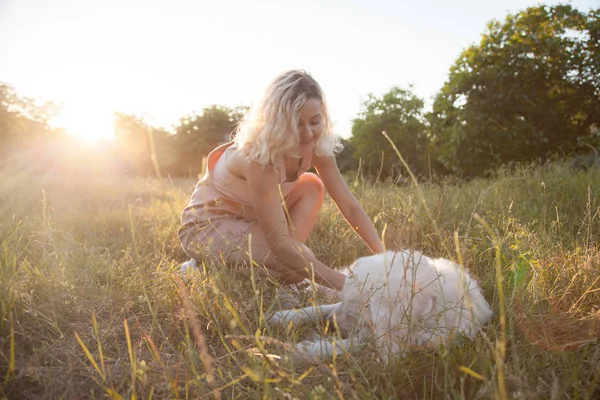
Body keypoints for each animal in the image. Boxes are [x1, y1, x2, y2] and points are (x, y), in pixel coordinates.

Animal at [268, 250, 492, 362]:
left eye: (355, 312)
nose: (329, 325)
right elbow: (321, 308)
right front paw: (284, 316)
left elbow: (349, 343)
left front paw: (303, 349)